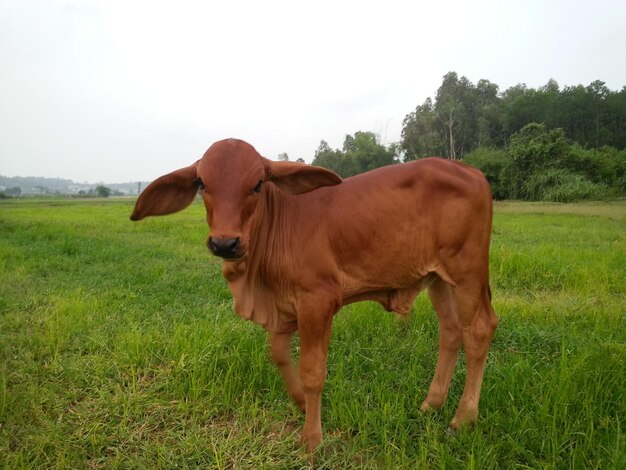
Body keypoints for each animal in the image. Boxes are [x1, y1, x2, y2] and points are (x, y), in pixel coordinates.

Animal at [129, 138, 494, 450]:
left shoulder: (317, 301)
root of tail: (470, 169)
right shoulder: (284, 308)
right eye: (202, 184)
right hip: (438, 279)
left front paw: (311, 439)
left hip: (467, 273)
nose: (225, 243)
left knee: (478, 331)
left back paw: (462, 418)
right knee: (451, 332)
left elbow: (312, 371)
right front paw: (301, 404)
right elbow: (278, 353)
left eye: (257, 184)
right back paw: (431, 403)